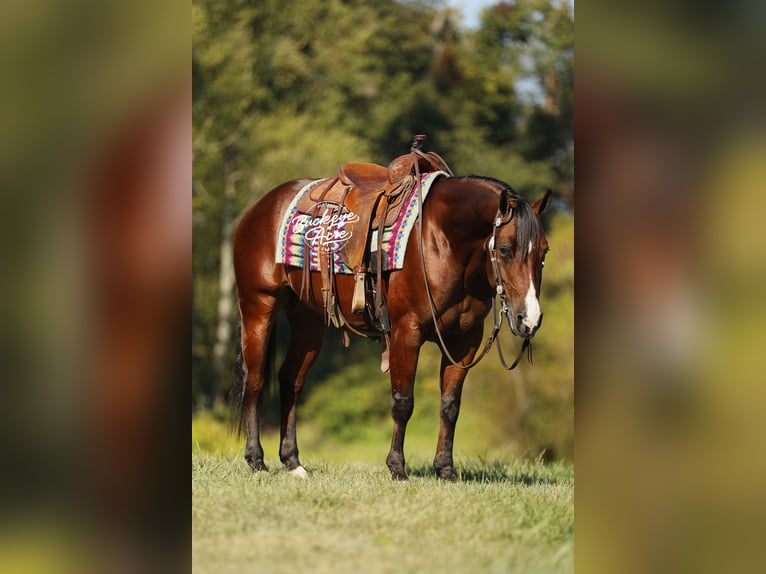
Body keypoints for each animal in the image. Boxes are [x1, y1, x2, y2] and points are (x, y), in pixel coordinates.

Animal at [230, 172, 552, 480]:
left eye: (544, 252)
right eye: (506, 249)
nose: (529, 319)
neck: (442, 243)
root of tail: (259, 208)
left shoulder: (464, 340)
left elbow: (450, 406)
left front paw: (445, 469)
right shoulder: (406, 332)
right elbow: (403, 401)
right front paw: (397, 467)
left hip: (308, 320)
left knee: (290, 380)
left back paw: (293, 463)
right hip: (258, 306)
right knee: (256, 380)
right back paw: (256, 460)